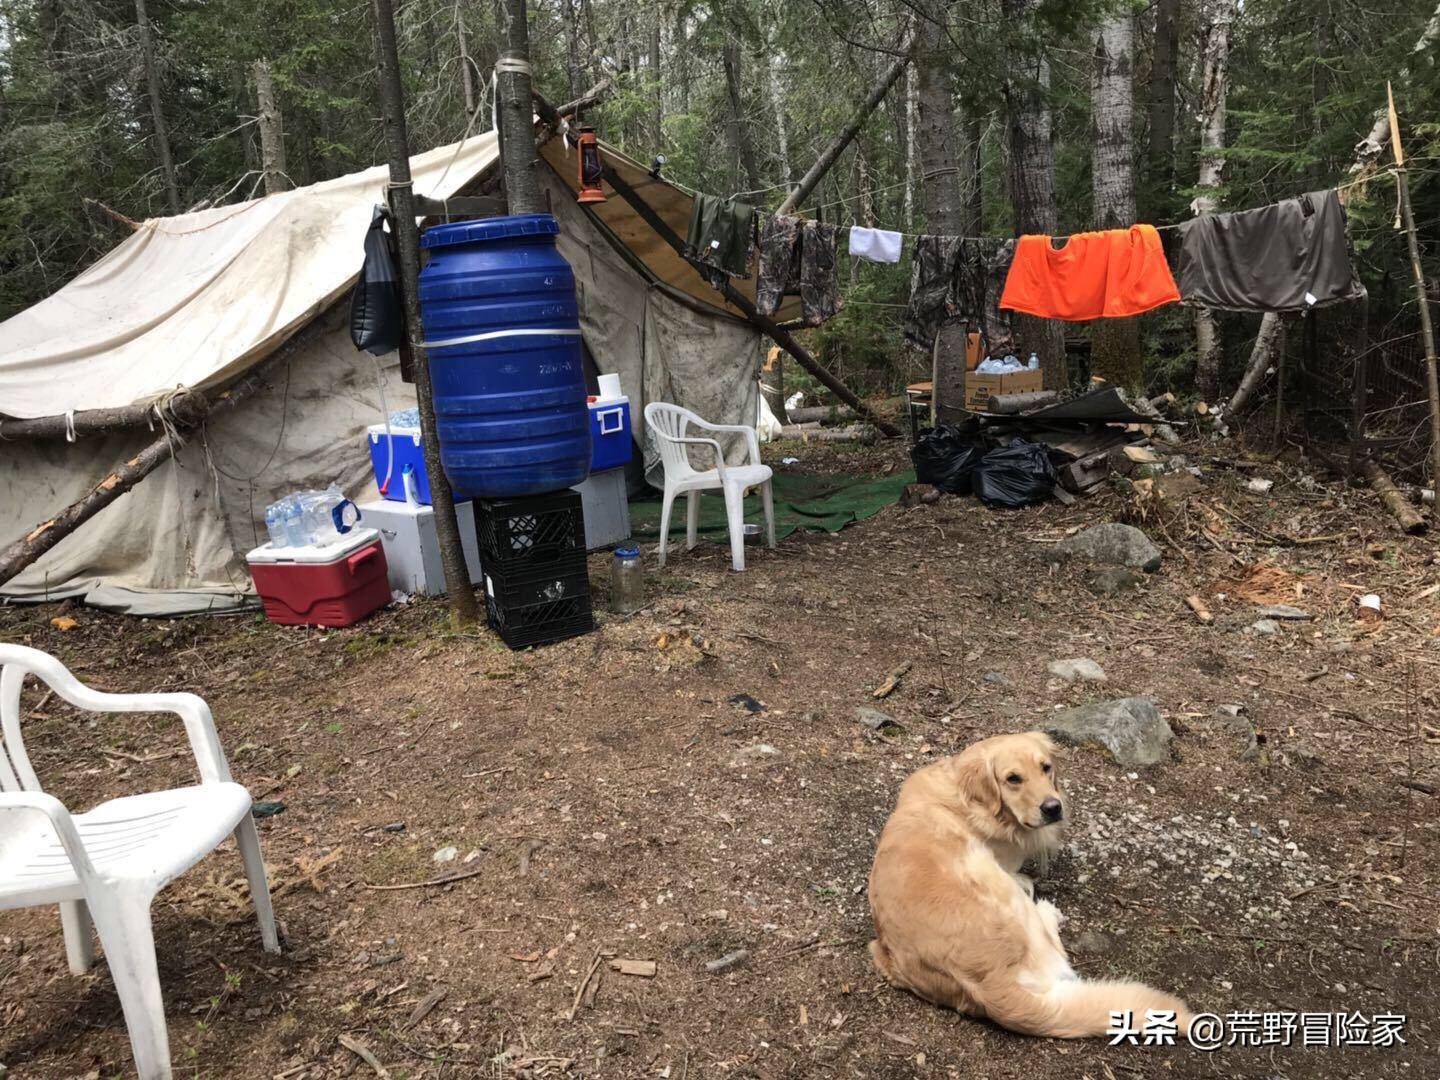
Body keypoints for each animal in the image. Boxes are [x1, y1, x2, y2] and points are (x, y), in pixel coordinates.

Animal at [869, 737, 1186, 1042]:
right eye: (1013, 778)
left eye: (1046, 767)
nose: (1053, 807)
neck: (967, 800)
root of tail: (992, 986)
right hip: (990, 876)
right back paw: (1046, 909)